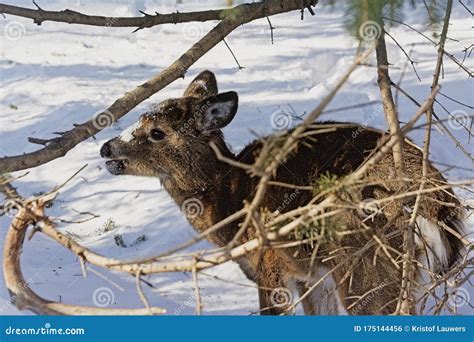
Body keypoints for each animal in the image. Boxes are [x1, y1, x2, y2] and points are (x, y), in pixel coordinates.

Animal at [100, 69, 462, 316]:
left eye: (156, 132)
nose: (106, 148)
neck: (230, 199)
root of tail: (435, 209)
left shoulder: (271, 264)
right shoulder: (312, 276)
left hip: (366, 267)